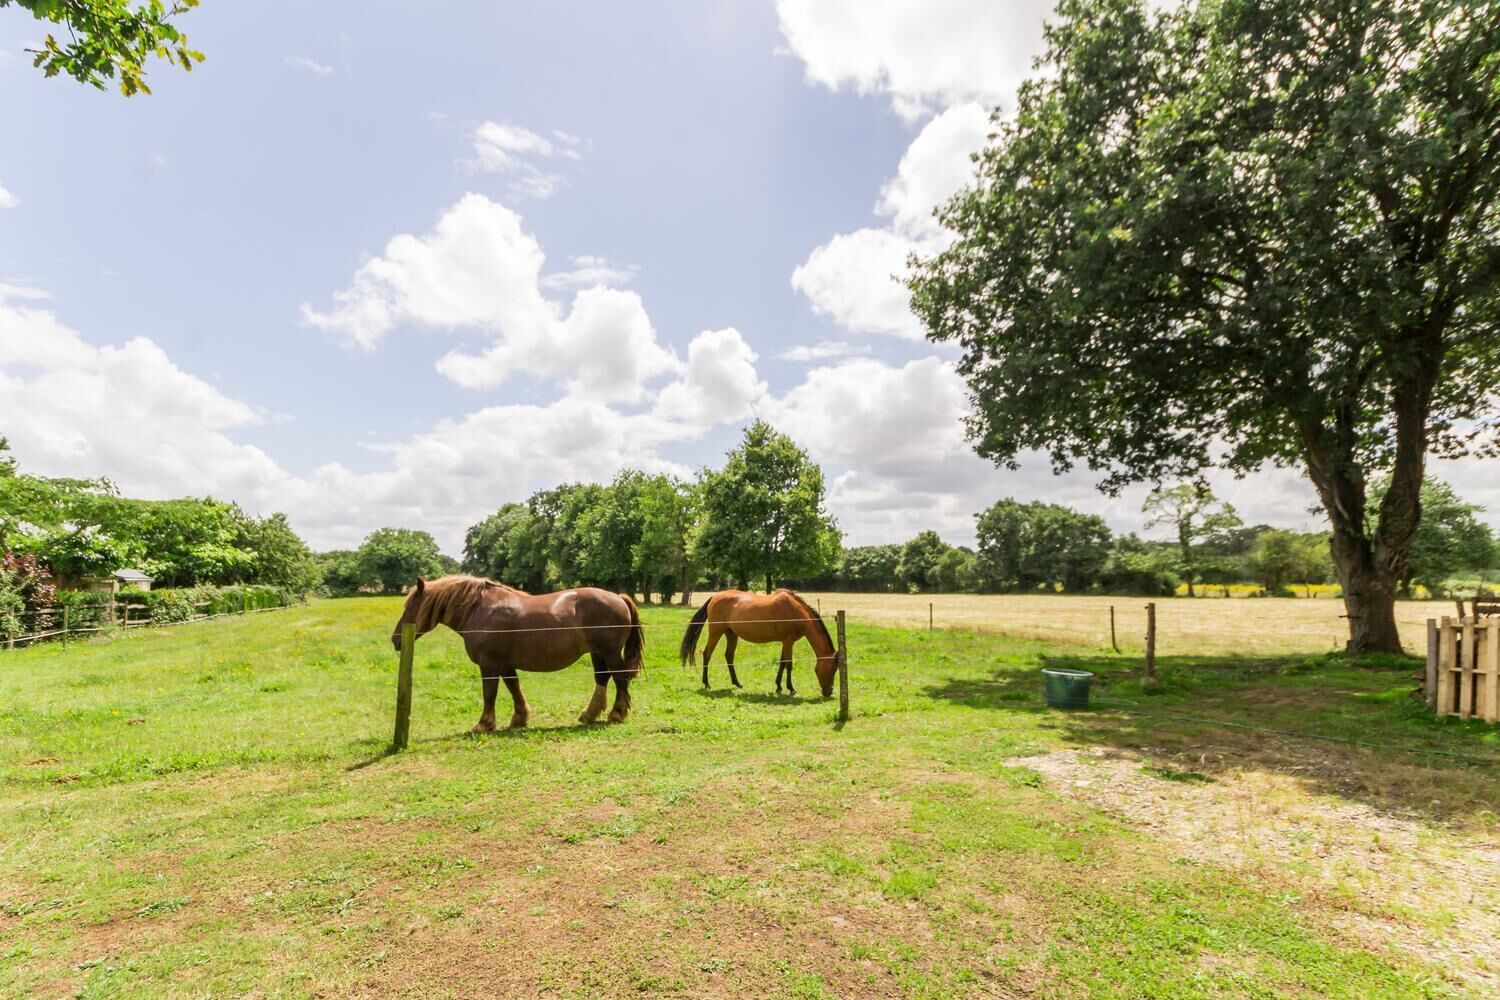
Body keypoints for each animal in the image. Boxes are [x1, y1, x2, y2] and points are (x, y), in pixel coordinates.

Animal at [390, 575, 645, 731]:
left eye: (410, 607)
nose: (395, 640)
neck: (478, 609)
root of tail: (618, 597)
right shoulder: (505, 664)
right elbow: (514, 688)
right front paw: (520, 718)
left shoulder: (489, 664)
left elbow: (490, 693)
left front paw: (484, 724)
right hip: (597, 653)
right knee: (602, 678)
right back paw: (589, 714)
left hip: (610, 652)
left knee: (620, 679)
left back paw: (617, 713)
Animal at [677, 589, 837, 697]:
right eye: (833, 669)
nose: (828, 692)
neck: (796, 612)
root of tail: (714, 597)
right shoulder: (788, 642)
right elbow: (788, 664)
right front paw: (791, 689)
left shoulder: (785, 642)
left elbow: (782, 663)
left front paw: (778, 686)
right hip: (716, 632)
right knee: (707, 654)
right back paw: (707, 683)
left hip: (731, 634)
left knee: (729, 656)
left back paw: (737, 683)